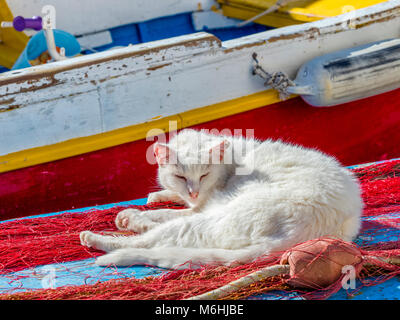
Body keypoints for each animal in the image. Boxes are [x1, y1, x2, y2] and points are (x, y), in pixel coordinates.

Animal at [80, 129, 362, 268]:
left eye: (204, 175)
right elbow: (169, 199)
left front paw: (138, 212)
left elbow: (166, 212)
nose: (193, 191)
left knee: (150, 238)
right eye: (181, 176)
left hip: (213, 218)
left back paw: (104, 234)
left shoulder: (202, 205)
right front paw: (159, 194)